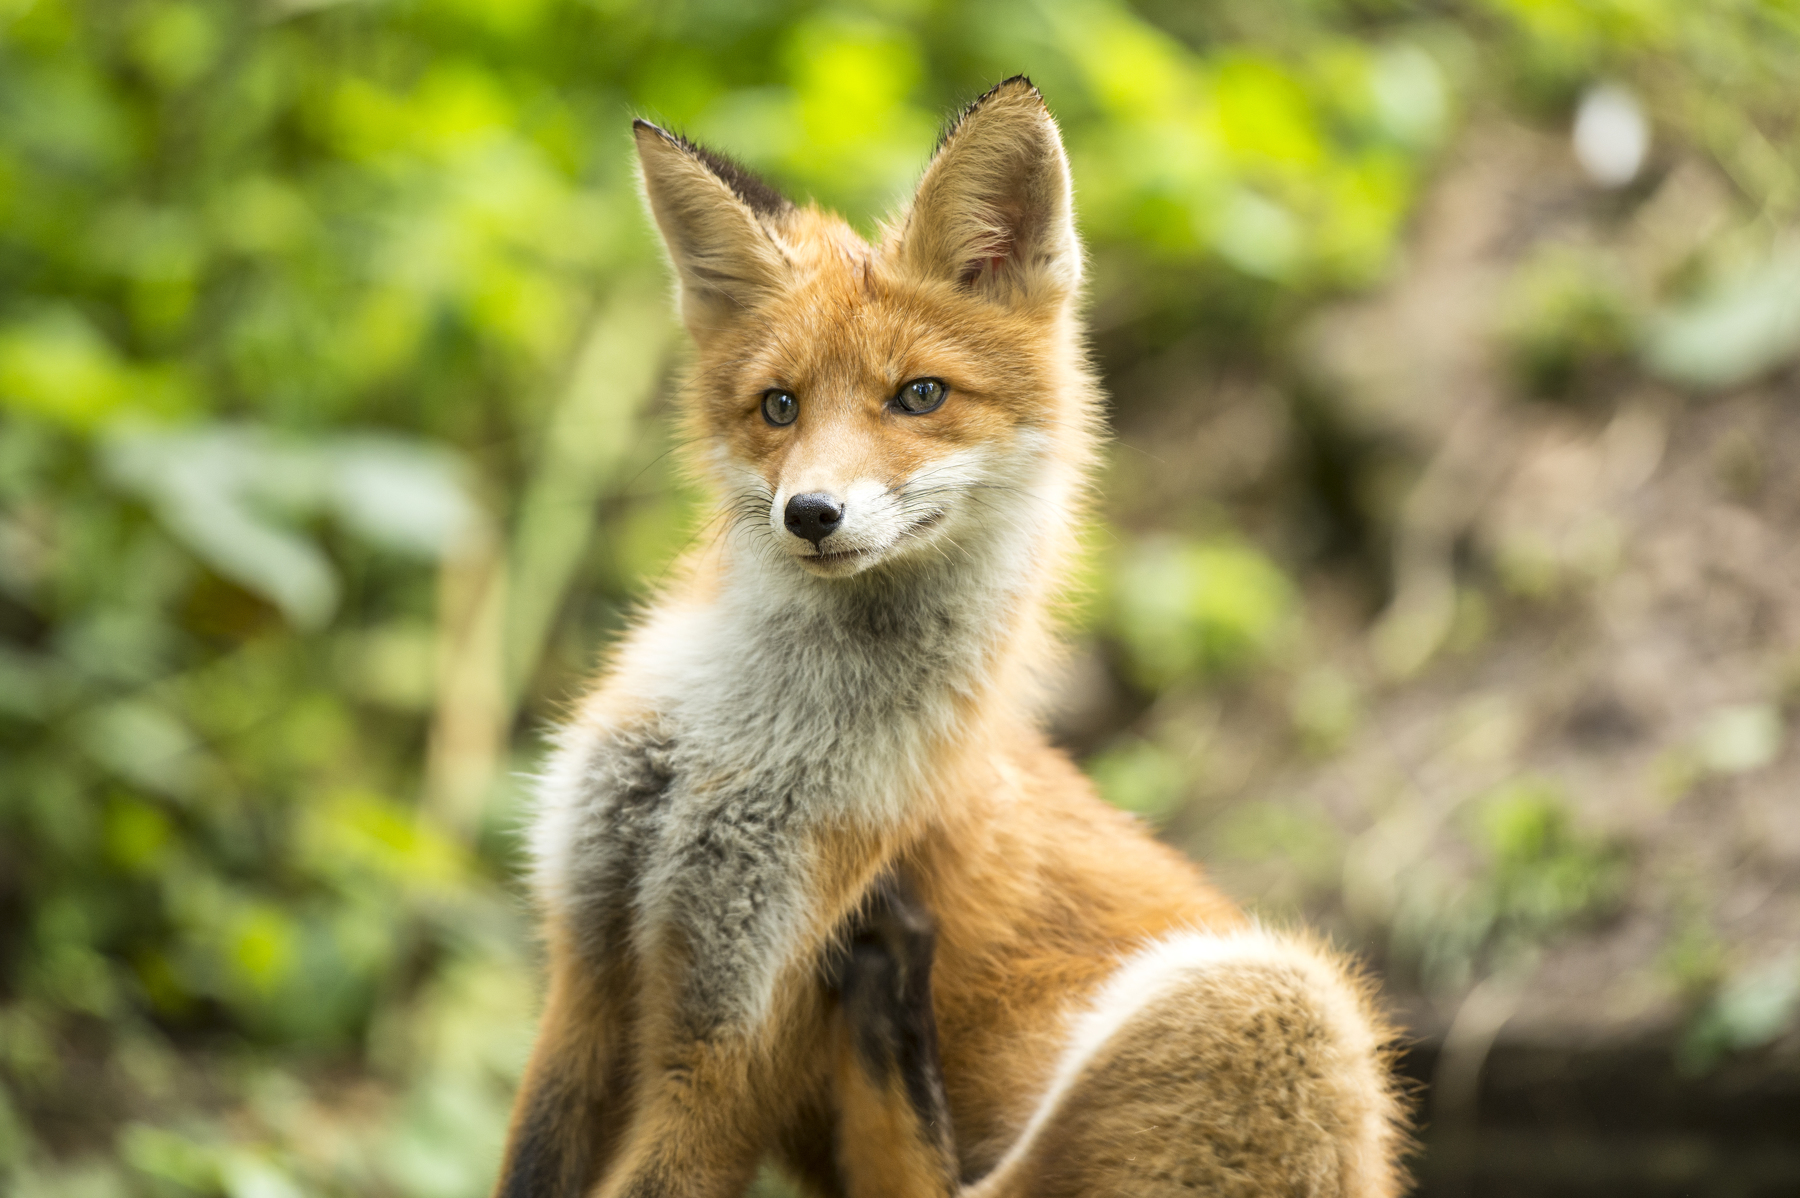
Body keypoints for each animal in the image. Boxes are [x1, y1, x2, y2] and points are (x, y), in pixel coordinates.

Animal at [496, 76, 1404, 1194]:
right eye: (778, 407)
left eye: (919, 395)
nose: (811, 514)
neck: (735, 748)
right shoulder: (586, 962)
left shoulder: (734, 1035)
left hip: (1277, 994)